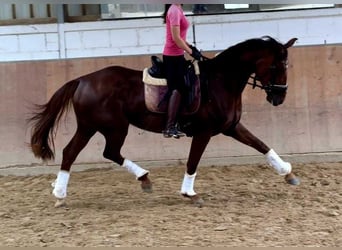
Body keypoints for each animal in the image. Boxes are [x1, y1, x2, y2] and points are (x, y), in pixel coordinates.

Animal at [28, 35, 300, 207]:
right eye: (276, 66)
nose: (280, 97)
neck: (221, 81)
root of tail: (83, 80)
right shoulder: (204, 132)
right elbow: (193, 162)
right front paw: (190, 193)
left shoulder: (231, 127)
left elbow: (261, 144)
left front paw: (287, 173)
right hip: (110, 127)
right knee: (98, 152)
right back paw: (63, 192)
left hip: (93, 127)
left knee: (80, 152)